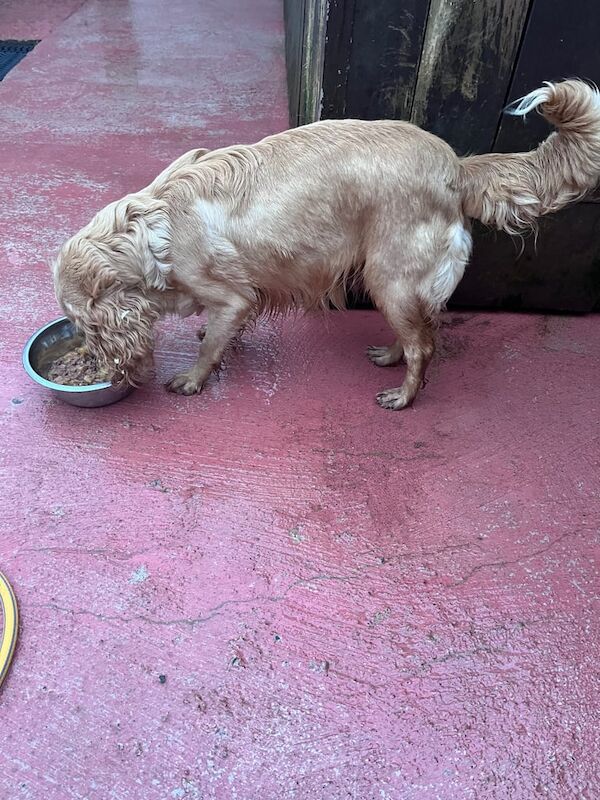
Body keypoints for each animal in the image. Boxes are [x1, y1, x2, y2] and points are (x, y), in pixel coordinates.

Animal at [52, 78, 600, 410]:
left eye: (84, 323)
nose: (93, 361)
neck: (148, 230)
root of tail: (455, 167)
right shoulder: (238, 300)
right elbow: (220, 334)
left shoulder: (233, 296)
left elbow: (210, 344)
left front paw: (193, 377)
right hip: (397, 286)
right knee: (417, 334)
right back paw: (388, 356)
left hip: (390, 278)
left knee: (424, 345)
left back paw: (403, 396)